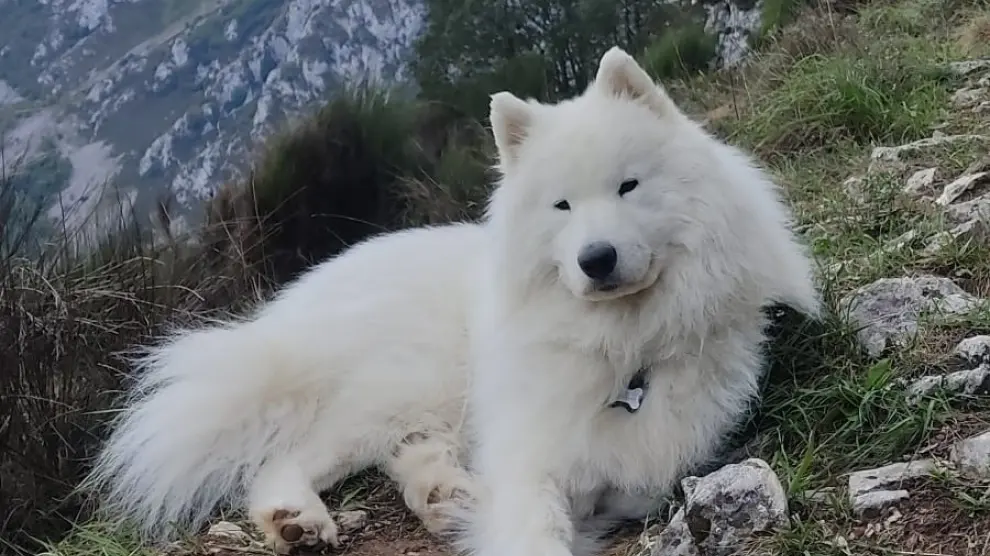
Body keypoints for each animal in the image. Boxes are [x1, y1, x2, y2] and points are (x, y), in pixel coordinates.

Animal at [85, 46, 816, 556]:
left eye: (628, 186)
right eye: (562, 206)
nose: (597, 258)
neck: (624, 347)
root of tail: (281, 314)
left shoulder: (650, 464)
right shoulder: (529, 459)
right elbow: (535, 527)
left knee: (406, 449)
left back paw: (441, 492)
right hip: (400, 380)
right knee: (288, 456)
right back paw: (298, 517)